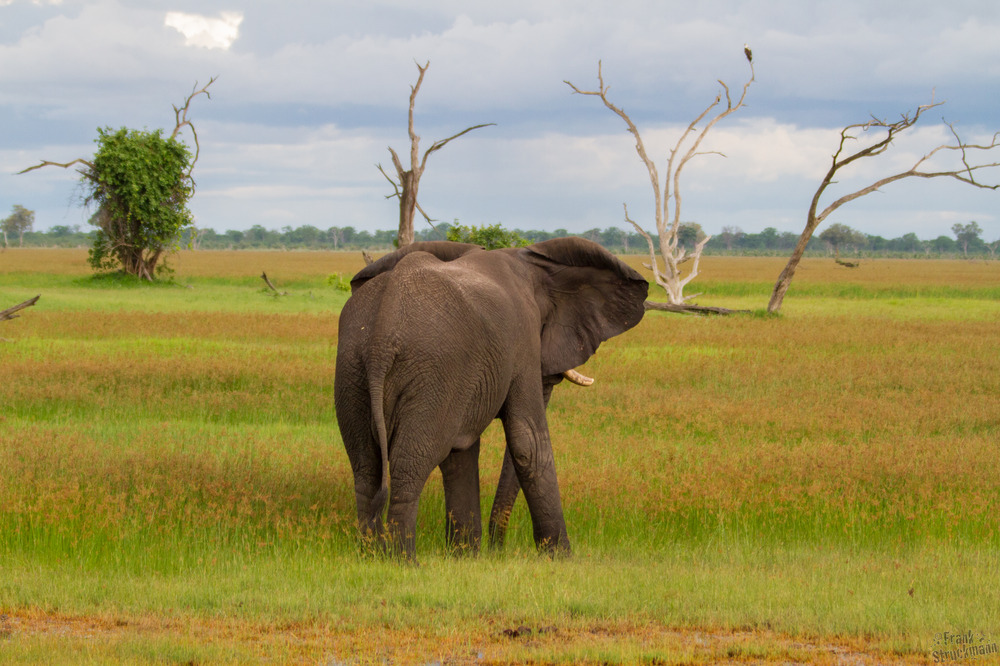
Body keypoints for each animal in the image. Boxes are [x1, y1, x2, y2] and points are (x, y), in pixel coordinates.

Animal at [336, 236, 648, 556]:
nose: (497, 548)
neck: (533, 265)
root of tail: (382, 335)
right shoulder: (522, 341)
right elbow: (529, 443)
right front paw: (562, 557)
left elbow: (461, 452)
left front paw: (464, 557)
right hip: (431, 370)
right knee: (410, 463)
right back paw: (404, 560)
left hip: (353, 367)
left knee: (366, 468)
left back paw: (369, 555)